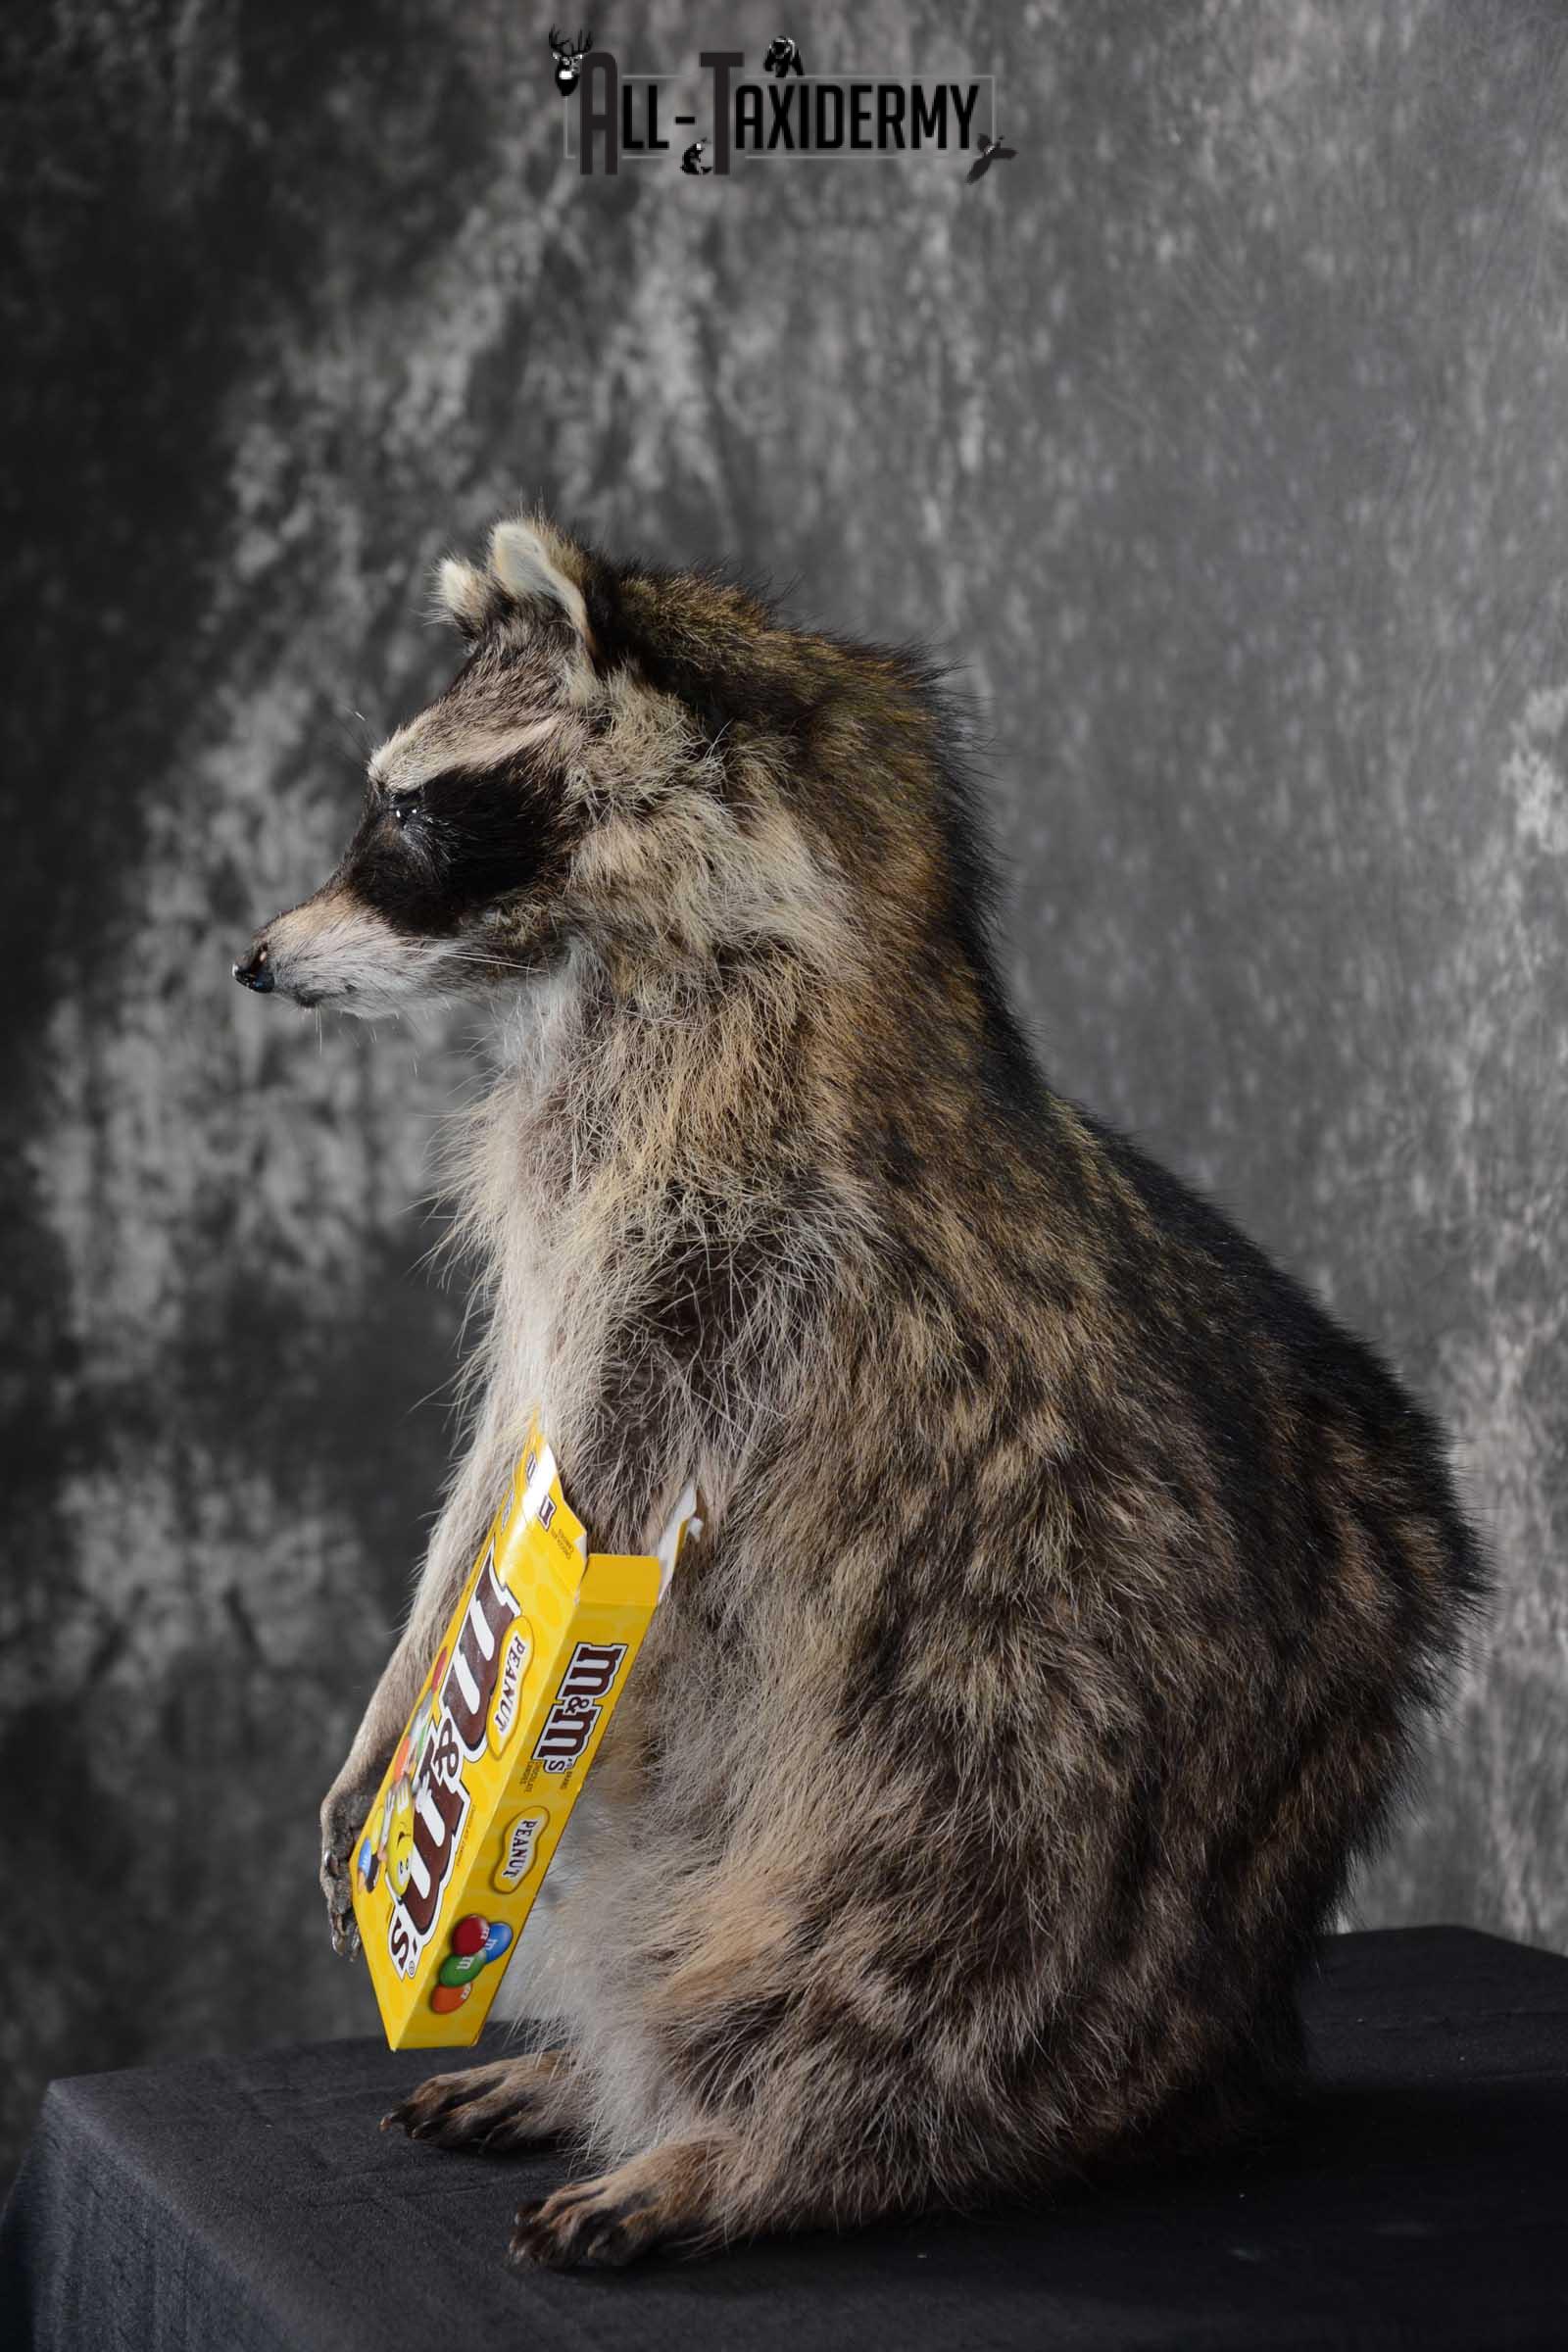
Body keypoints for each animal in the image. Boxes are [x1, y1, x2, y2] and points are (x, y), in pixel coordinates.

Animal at [235, 518, 1483, 2270]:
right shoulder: (586, 1209)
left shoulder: (727, 1226)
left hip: (1033, 1753)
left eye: (408, 813)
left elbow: (588, 1487)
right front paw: (405, 1700)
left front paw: (459, 1730)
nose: (254, 960)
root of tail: (1214, 2031)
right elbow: (505, 1461)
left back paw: (757, 2144)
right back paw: (597, 2070)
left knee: (914, 1951)